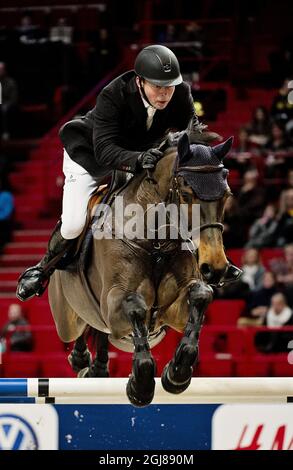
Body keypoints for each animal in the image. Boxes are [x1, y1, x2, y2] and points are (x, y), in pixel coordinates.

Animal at [48, 133, 240, 408]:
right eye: (185, 193)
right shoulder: (114, 303)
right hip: (66, 319)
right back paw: (79, 356)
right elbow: (135, 307)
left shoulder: (172, 312)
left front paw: (177, 374)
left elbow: (201, 295)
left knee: (100, 332)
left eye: (226, 195)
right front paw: (140, 385)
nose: (214, 268)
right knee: (80, 326)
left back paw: (96, 367)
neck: (156, 242)